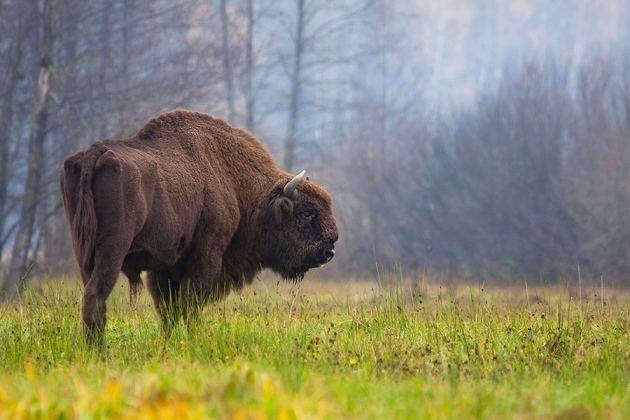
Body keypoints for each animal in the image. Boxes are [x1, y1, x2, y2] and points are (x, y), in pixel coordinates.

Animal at [61, 110, 338, 342]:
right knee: (96, 295)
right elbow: (189, 306)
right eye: (307, 213)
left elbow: (169, 311)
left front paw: (169, 343)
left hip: (83, 253)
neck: (234, 182)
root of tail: (93, 154)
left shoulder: (165, 267)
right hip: (112, 251)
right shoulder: (205, 258)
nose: (329, 248)